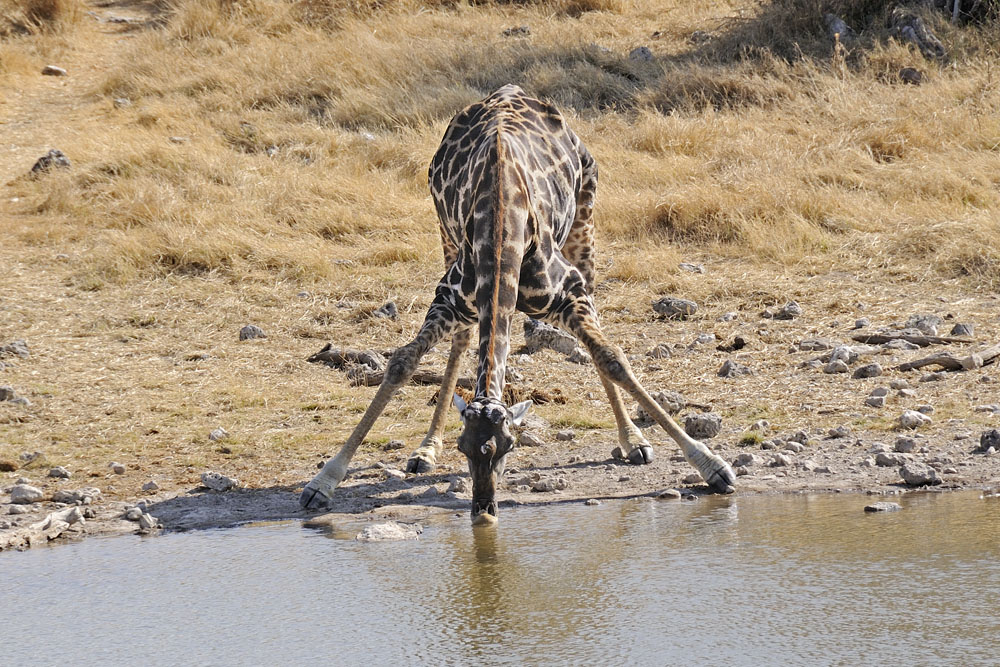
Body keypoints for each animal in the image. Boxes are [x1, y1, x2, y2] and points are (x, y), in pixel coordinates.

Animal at [300, 85, 735, 523]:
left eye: (507, 446)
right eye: (463, 447)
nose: (483, 511)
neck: (500, 224)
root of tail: (511, 90)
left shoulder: (570, 292)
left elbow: (611, 357)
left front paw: (712, 466)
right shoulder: (450, 298)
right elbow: (402, 361)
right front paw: (323, 482)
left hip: (585, 224)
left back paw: (634, 441)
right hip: (445, 233)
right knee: (462, 340)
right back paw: (425, 449)